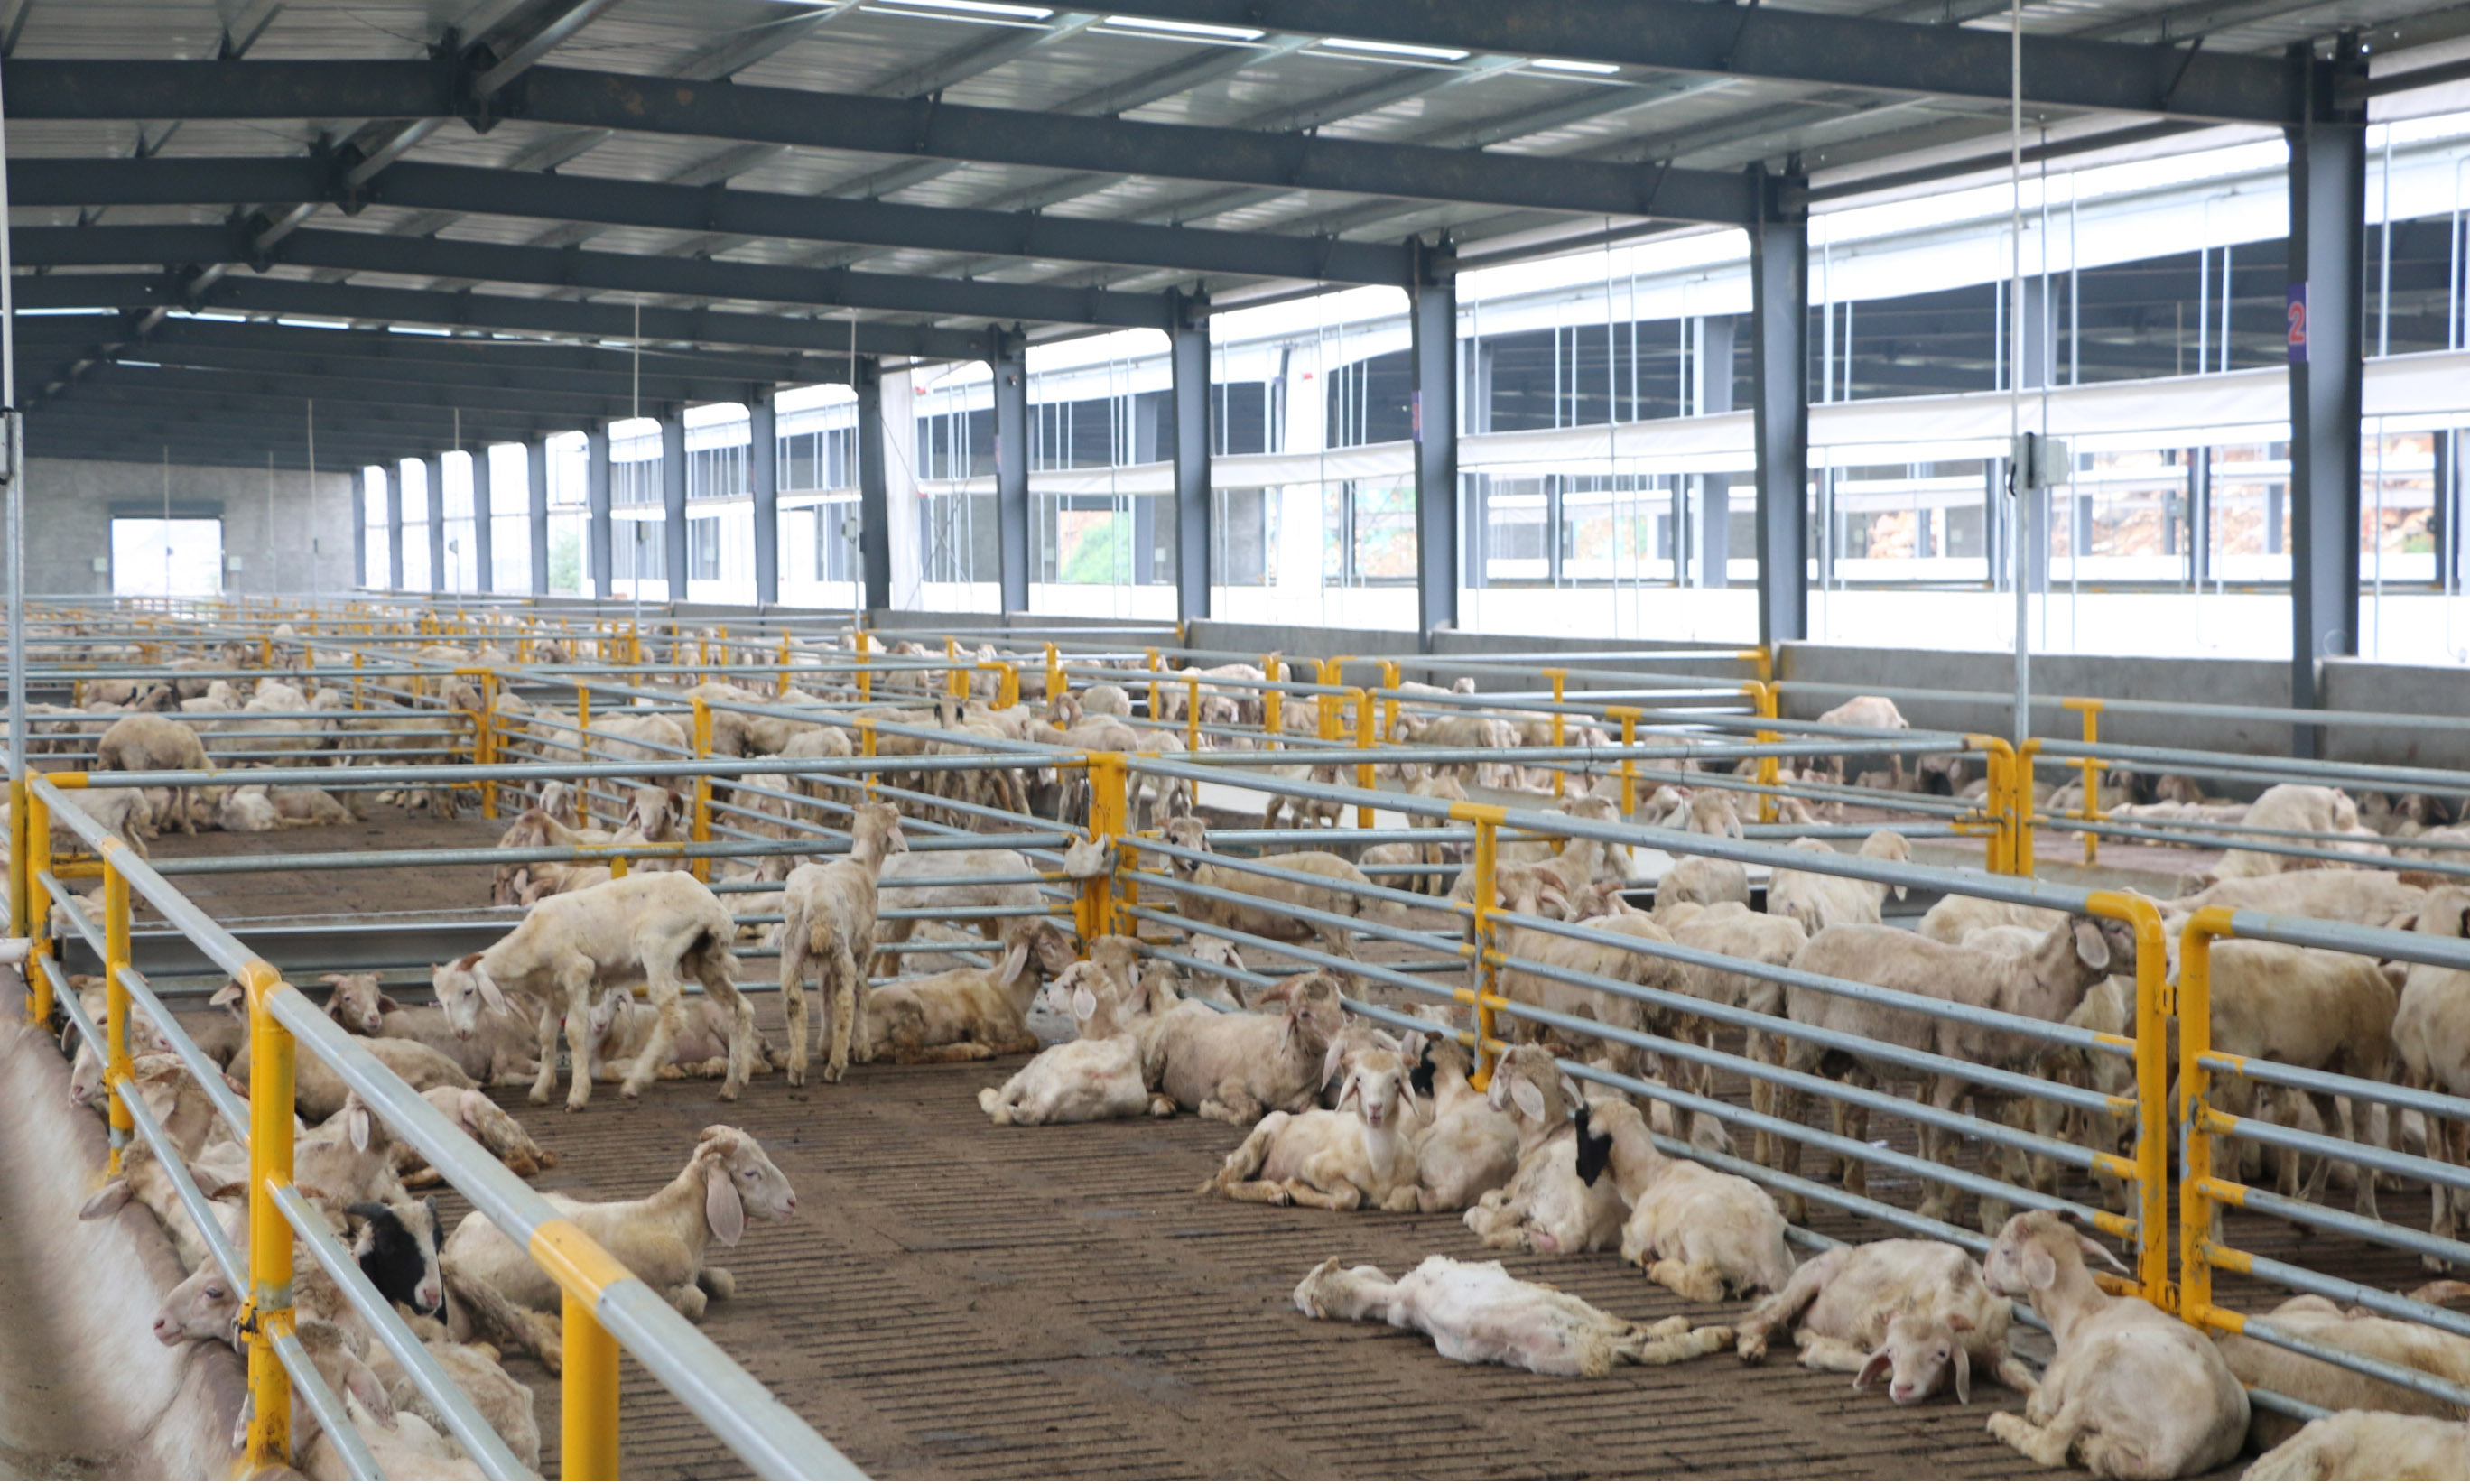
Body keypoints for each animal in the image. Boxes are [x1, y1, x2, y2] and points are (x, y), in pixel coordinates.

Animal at [1294, 1254, 1739, 1382]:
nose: (1294, 1296)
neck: (1393, 1296)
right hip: (1568, 1329)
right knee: (1632, 1339)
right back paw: (1708, 1332)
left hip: (1565, 1350)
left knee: (1632, 1345)